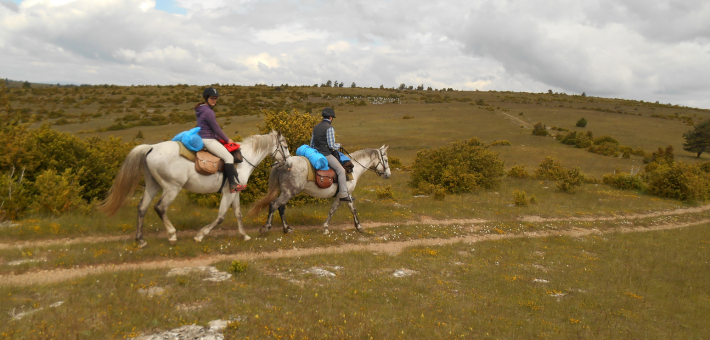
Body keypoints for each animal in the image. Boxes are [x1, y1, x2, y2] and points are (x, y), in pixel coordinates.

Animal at [99, 131, 290, 247]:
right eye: (286, 147)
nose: (288, 164)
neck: (243, 160)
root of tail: (151, 148)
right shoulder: (228, 193)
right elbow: (221, 217)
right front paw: (200, 235)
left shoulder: (234, 192)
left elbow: (238, 214)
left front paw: (244, 235)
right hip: (172, 188)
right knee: (160, 208)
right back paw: (172, 235)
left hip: (152, 186)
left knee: (142, 207)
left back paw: (141, 240)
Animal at [249, 145, 394, 235]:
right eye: (386, 160)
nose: (388, 175)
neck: (354, 168)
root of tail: (282, 163)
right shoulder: (343, 195)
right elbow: (337, 210)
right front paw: (326, 228)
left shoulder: (346, 195)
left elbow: (349, 209)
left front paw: (358, 227)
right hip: (289, 192)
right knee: (274, 205)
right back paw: (266, 228)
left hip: (286, 192)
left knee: (281, 208)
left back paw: (287, 229)